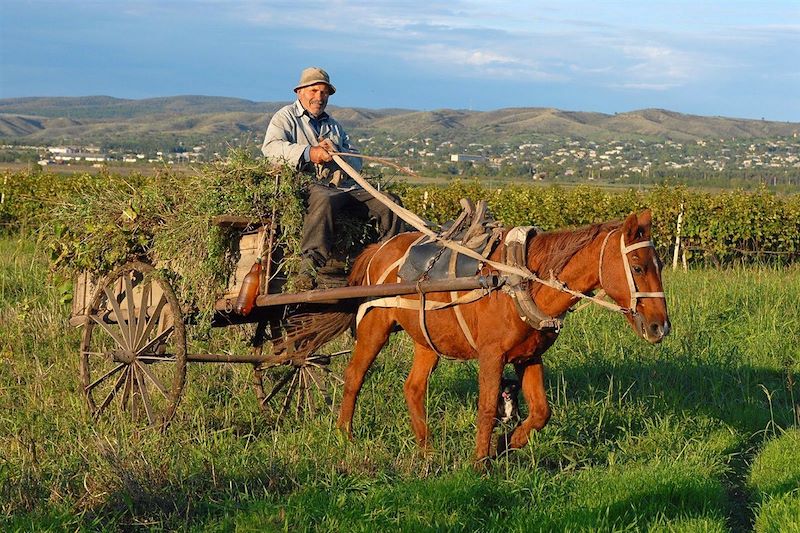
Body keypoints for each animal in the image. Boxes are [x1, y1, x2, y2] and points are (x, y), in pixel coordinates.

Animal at [310, 209, 668, 462]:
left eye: (661, 264)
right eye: (637, 267)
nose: (660, 326)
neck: (521, 279)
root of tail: (377, 249)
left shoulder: (529, 357)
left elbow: (541, 412)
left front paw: (505, 445)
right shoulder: (491, 356)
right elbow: (485, 408)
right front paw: (480, 462)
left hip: (428, 341)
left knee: (413, 388)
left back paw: (427, 450)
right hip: (374, 328)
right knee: (354, 376)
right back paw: (345, 435)